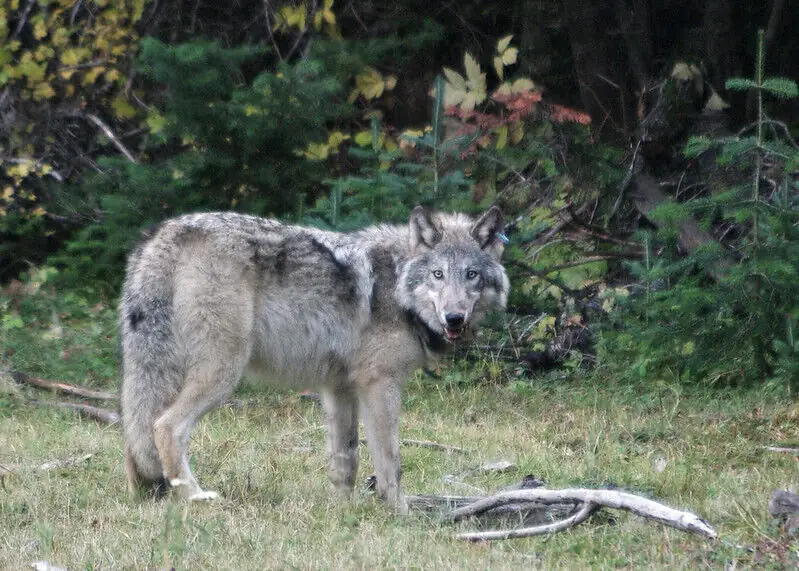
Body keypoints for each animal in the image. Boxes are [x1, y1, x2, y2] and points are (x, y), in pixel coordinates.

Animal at [119, 205, 509, 510]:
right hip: (223, 373)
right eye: (437, 274)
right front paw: (400, 516)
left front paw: (344, 513)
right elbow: (390, 463)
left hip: (155, 373)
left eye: (471, 275)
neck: (398, 287)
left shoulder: (339, 387)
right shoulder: (379, 385)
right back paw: (195, 498)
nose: (454, 318)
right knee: (165, 426)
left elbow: (345, 460)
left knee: (136, 431)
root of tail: (168, 230)